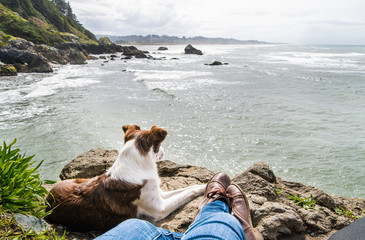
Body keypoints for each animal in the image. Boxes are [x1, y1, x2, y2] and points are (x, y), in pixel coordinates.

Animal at [45, 125, 205, 232]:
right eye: (159, 145)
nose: (164, 151)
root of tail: (47, 199)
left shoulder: (159, 194)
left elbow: (189, 188)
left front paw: (204, 185)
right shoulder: (160, 209)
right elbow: (187, 192)